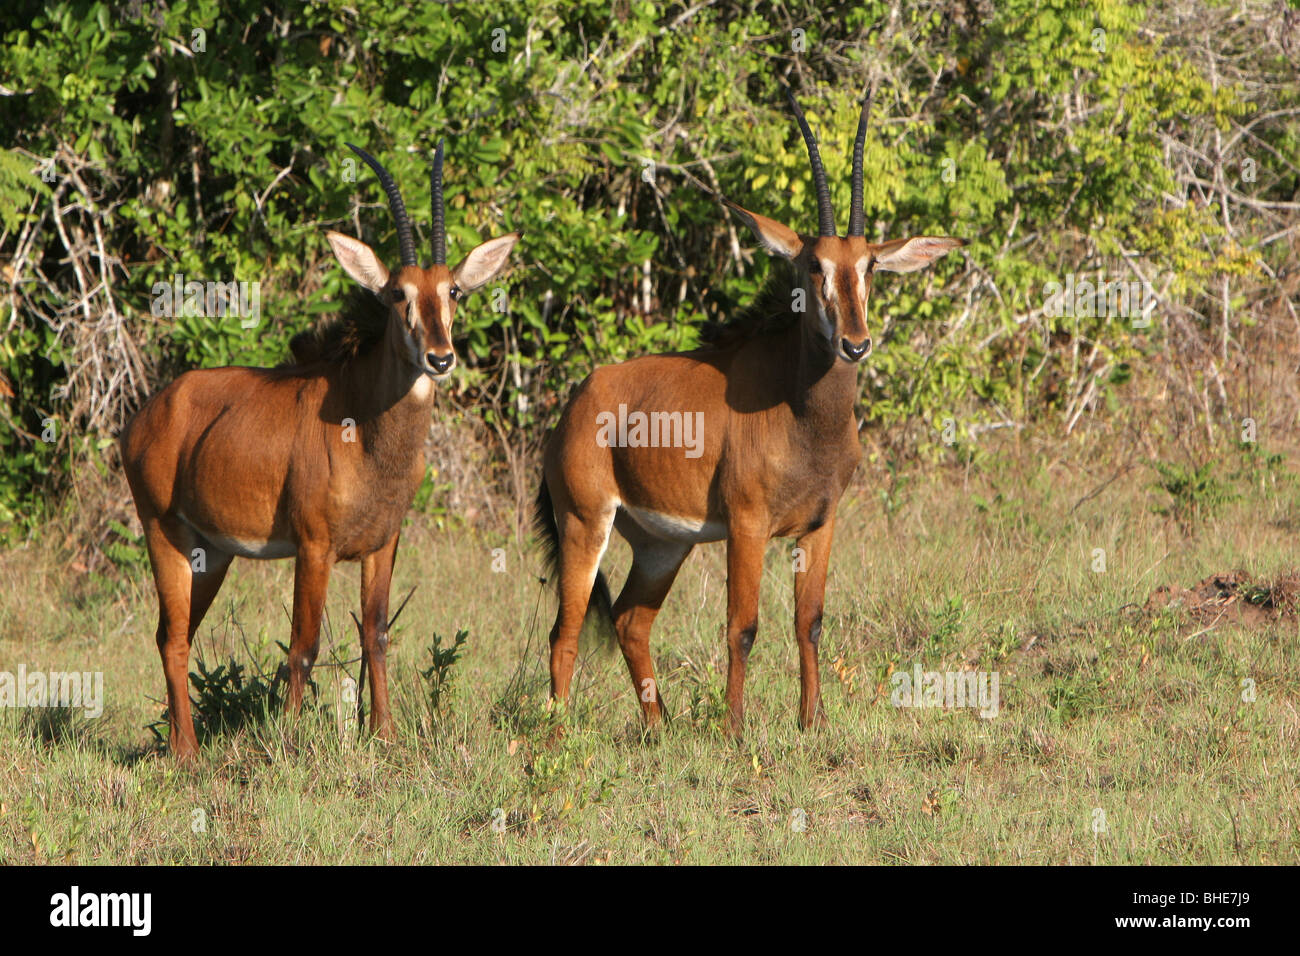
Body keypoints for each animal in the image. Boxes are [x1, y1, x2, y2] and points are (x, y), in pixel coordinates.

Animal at [120, 141, 517, 759]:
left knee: (175, 633)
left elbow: (376, 633)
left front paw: (384, 733)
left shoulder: (382, 544)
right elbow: (302, 646)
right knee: (173, 639)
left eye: (452, 291)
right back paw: (186, 754)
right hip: (165, 535)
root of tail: (146, 415)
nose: (440, 357)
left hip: (212, 553)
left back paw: (185, 744)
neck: (368, 433)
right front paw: (287, 737)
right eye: (398, 294)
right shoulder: (313, 546)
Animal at [530, 91, 967, 733]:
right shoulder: (747, 524)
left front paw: (812, 722)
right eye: (813, 264)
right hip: (586, 523)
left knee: (632, 620)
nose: (855, 344)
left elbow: (809, 623)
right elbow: (743, 626)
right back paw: (559, 738)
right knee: (565, 633)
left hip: (662, 544)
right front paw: (736, 729)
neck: (805, 415)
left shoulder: (820, 524)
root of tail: (577, 402)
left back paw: (659, 730)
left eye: (870, 266)